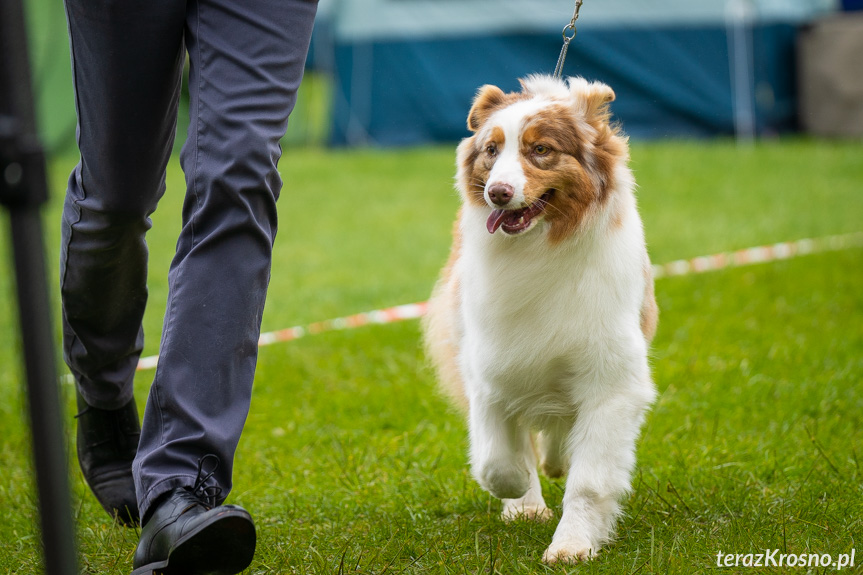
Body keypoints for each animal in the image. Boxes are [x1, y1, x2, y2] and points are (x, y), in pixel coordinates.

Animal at [422, 74, 660, 564]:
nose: (498, 192)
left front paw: (572, 545)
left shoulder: (612, 381)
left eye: (541, 150)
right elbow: (498, 461)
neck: (539, 249)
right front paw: (520, 497)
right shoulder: (489, 369)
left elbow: (589, 480)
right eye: (491, 150)